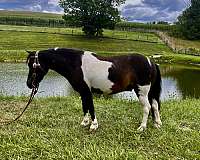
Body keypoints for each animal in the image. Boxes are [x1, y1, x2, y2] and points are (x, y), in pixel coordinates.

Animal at [25, 48, 162, 132]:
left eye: (32, 65)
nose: (29, 84)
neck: (75, 63)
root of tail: (151, 62)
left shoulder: (87, 91)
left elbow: (90, 107)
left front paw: (93, 125)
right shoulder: (83, 91)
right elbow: (85, 106)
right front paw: (85, 122)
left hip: (142, 92)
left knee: (147, 108)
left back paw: (142, 127)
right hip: (149, 92)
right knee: (154, 106)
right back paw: (157, 124)